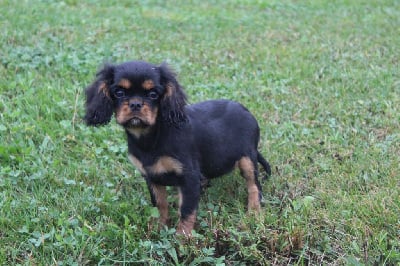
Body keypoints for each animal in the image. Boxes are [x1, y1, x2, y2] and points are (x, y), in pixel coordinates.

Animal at [84, 60, 272, 235]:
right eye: (119, 92)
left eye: (153, 94)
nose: (136, 104)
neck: (150, 136)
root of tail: (246, 110)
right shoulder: (152, 177)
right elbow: (160, 205)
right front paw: (158, 228)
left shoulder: (188, 177)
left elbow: (186, 211)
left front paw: (182, 239)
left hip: (247, 159)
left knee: (254, 186)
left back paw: (253, 213)